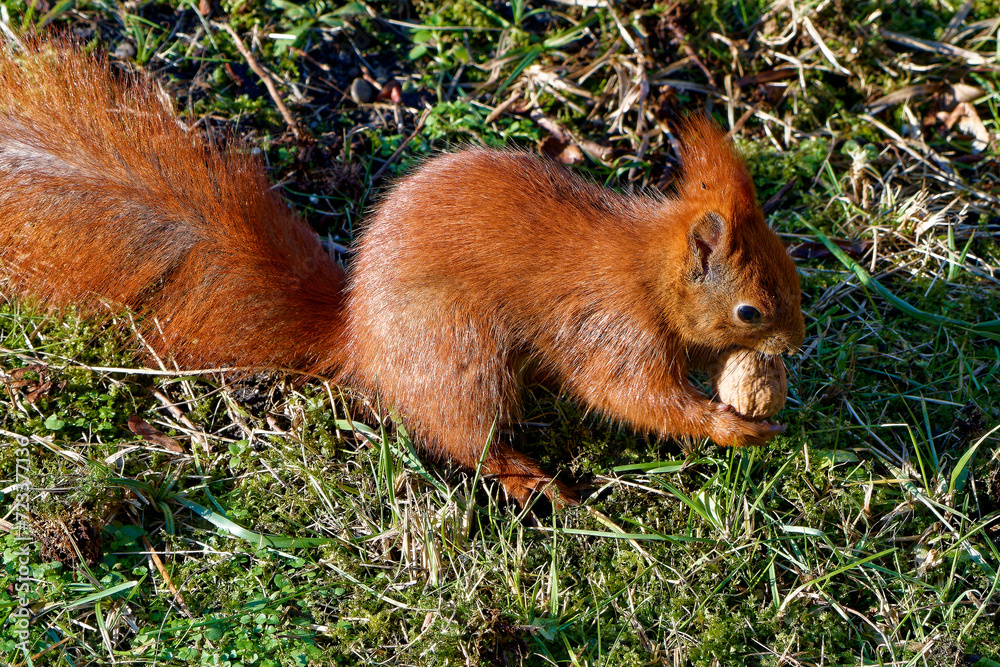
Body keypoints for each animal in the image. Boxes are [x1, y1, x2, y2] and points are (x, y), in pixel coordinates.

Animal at [0, 40, 804, 506]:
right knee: (466, 438)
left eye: (793, 275)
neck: (647, 271)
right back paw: (536, 482)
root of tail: (358, 340)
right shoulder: (613, 328)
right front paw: (731, 425)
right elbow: (633, 396)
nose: (794, 344)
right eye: (750, 312)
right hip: (458, 353)